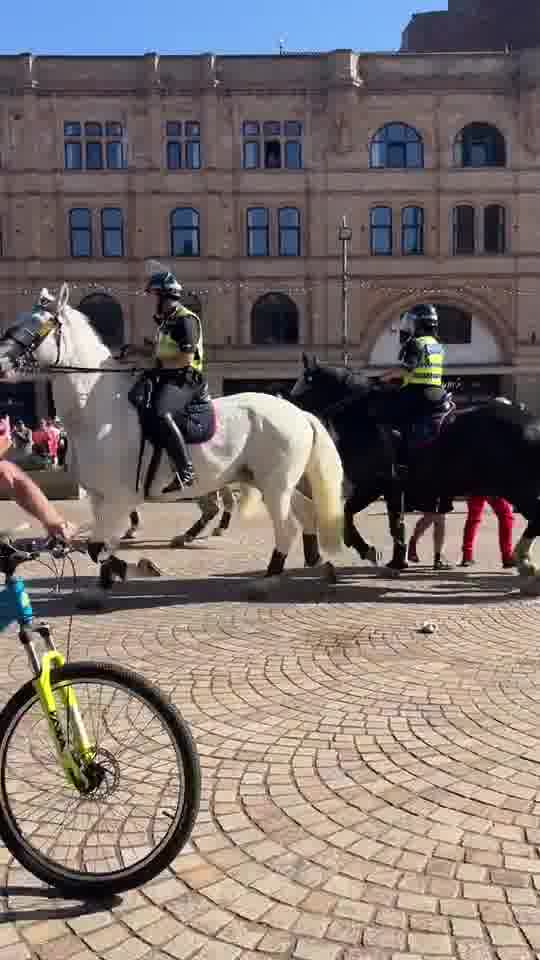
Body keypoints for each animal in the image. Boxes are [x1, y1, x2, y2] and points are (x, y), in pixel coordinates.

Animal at [0, 284, 346, 608]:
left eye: (39, 325)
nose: (1, 360)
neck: (97, 411)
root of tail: (297, 412)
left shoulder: (118, 497)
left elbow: (99, 546)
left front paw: (130, 572)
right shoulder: (99, 498)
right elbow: (99, 545)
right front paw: (106, 583)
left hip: (275, 485)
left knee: (286, 527)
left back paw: (266, 581)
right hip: (273, 483)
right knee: (307, 514)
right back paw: (320, 565)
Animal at [294, 356, 540, 580]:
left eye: (299, 392)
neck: (366, 419)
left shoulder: (377, 485)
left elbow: (357, 516)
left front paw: (373, 552)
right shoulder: (388, 489)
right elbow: (385, 521)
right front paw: (394, 557)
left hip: (518, 488)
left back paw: (523, 560)